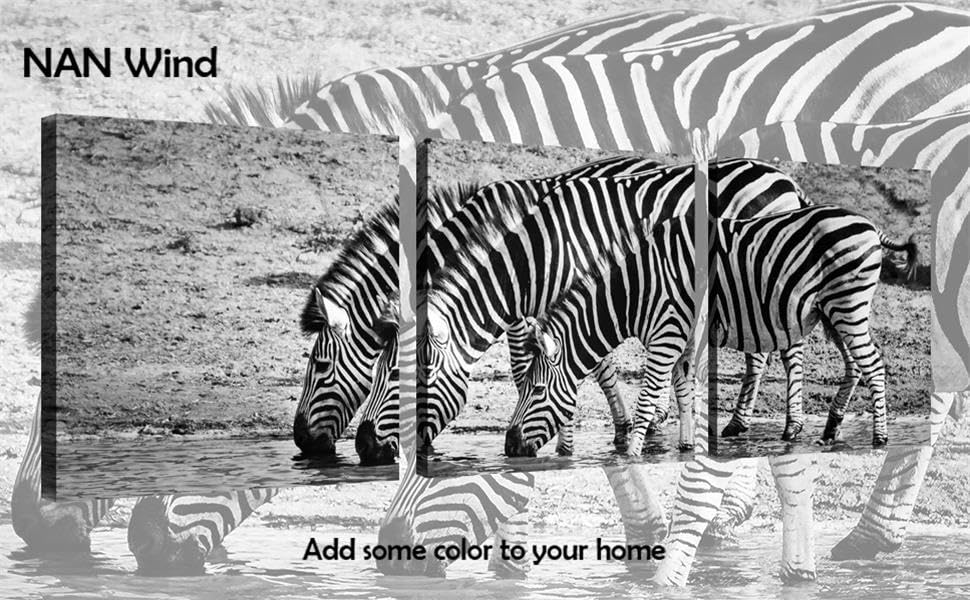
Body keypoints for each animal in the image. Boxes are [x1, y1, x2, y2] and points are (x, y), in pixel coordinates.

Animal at [417, 158, 809, 451]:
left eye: (423, 376)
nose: (414, 447)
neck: (533, 253)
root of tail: (788, 182)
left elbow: (574, 365)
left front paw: (574, 441)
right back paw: (733, 422)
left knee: (784, 349)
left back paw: (787, 426)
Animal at [507, 206, 917, 457]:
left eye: (536, 390)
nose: (509, 447)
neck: (636, 291)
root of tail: (871, 225)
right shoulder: (681, 338)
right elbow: (684, 391)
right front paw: (687, 446)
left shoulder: (666, 336)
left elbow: (648, 398)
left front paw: (632, 455)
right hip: (832, 312)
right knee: (855, 365)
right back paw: (830, 431)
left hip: (847, 307)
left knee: (874, 365)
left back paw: (880, 438)